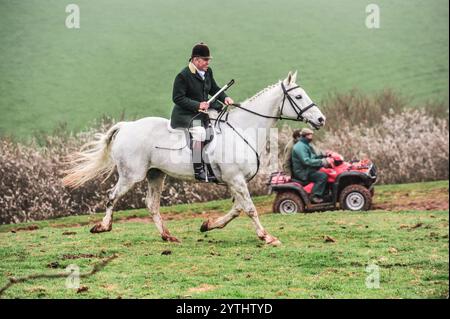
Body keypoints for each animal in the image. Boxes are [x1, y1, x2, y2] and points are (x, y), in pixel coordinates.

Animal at [62, 72, 324, 248]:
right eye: (298, 96)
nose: (321, 119)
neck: (243, 131)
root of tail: (126, 126)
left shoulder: (235, 181)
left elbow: (238, 209)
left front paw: (209, 225)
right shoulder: (235, 179)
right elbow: (249, 208)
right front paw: (267, 237)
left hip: (156, 174)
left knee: (151, 204)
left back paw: (167, 236)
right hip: (131, 175)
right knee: (112, 196)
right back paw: (103, 227)